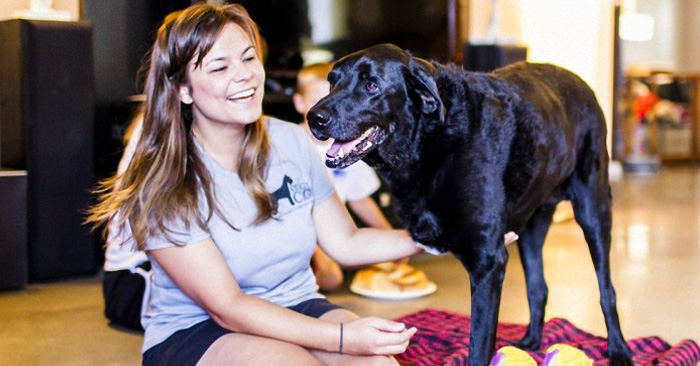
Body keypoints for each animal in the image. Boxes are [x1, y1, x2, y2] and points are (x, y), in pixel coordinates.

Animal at [306, 44, 636, 366]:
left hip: (594, 210)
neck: (430, 141)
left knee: (607, 289)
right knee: (538, 288)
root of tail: (580, 82)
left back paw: (619, 350)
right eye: (332, 82)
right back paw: (531, 342)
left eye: (371, 85)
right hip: (532, 226)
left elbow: (478, 345)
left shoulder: (488, 262)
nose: (313, 117)